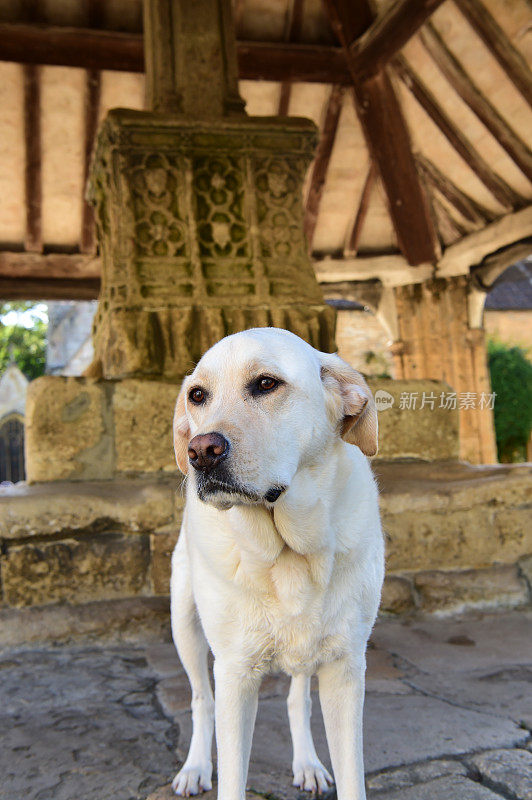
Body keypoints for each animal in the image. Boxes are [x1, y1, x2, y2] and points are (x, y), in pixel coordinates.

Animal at [172, 326, 384, 800]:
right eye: (198, 395)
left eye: (266, 383)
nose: (200, 450)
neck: (288, 551)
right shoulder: (235, 675)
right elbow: (232, 775)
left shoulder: (346, 669)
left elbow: (352, 775)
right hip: (185, 624)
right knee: (200, 699)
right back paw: (195, 768)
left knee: (297, 697)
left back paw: (307, 762)